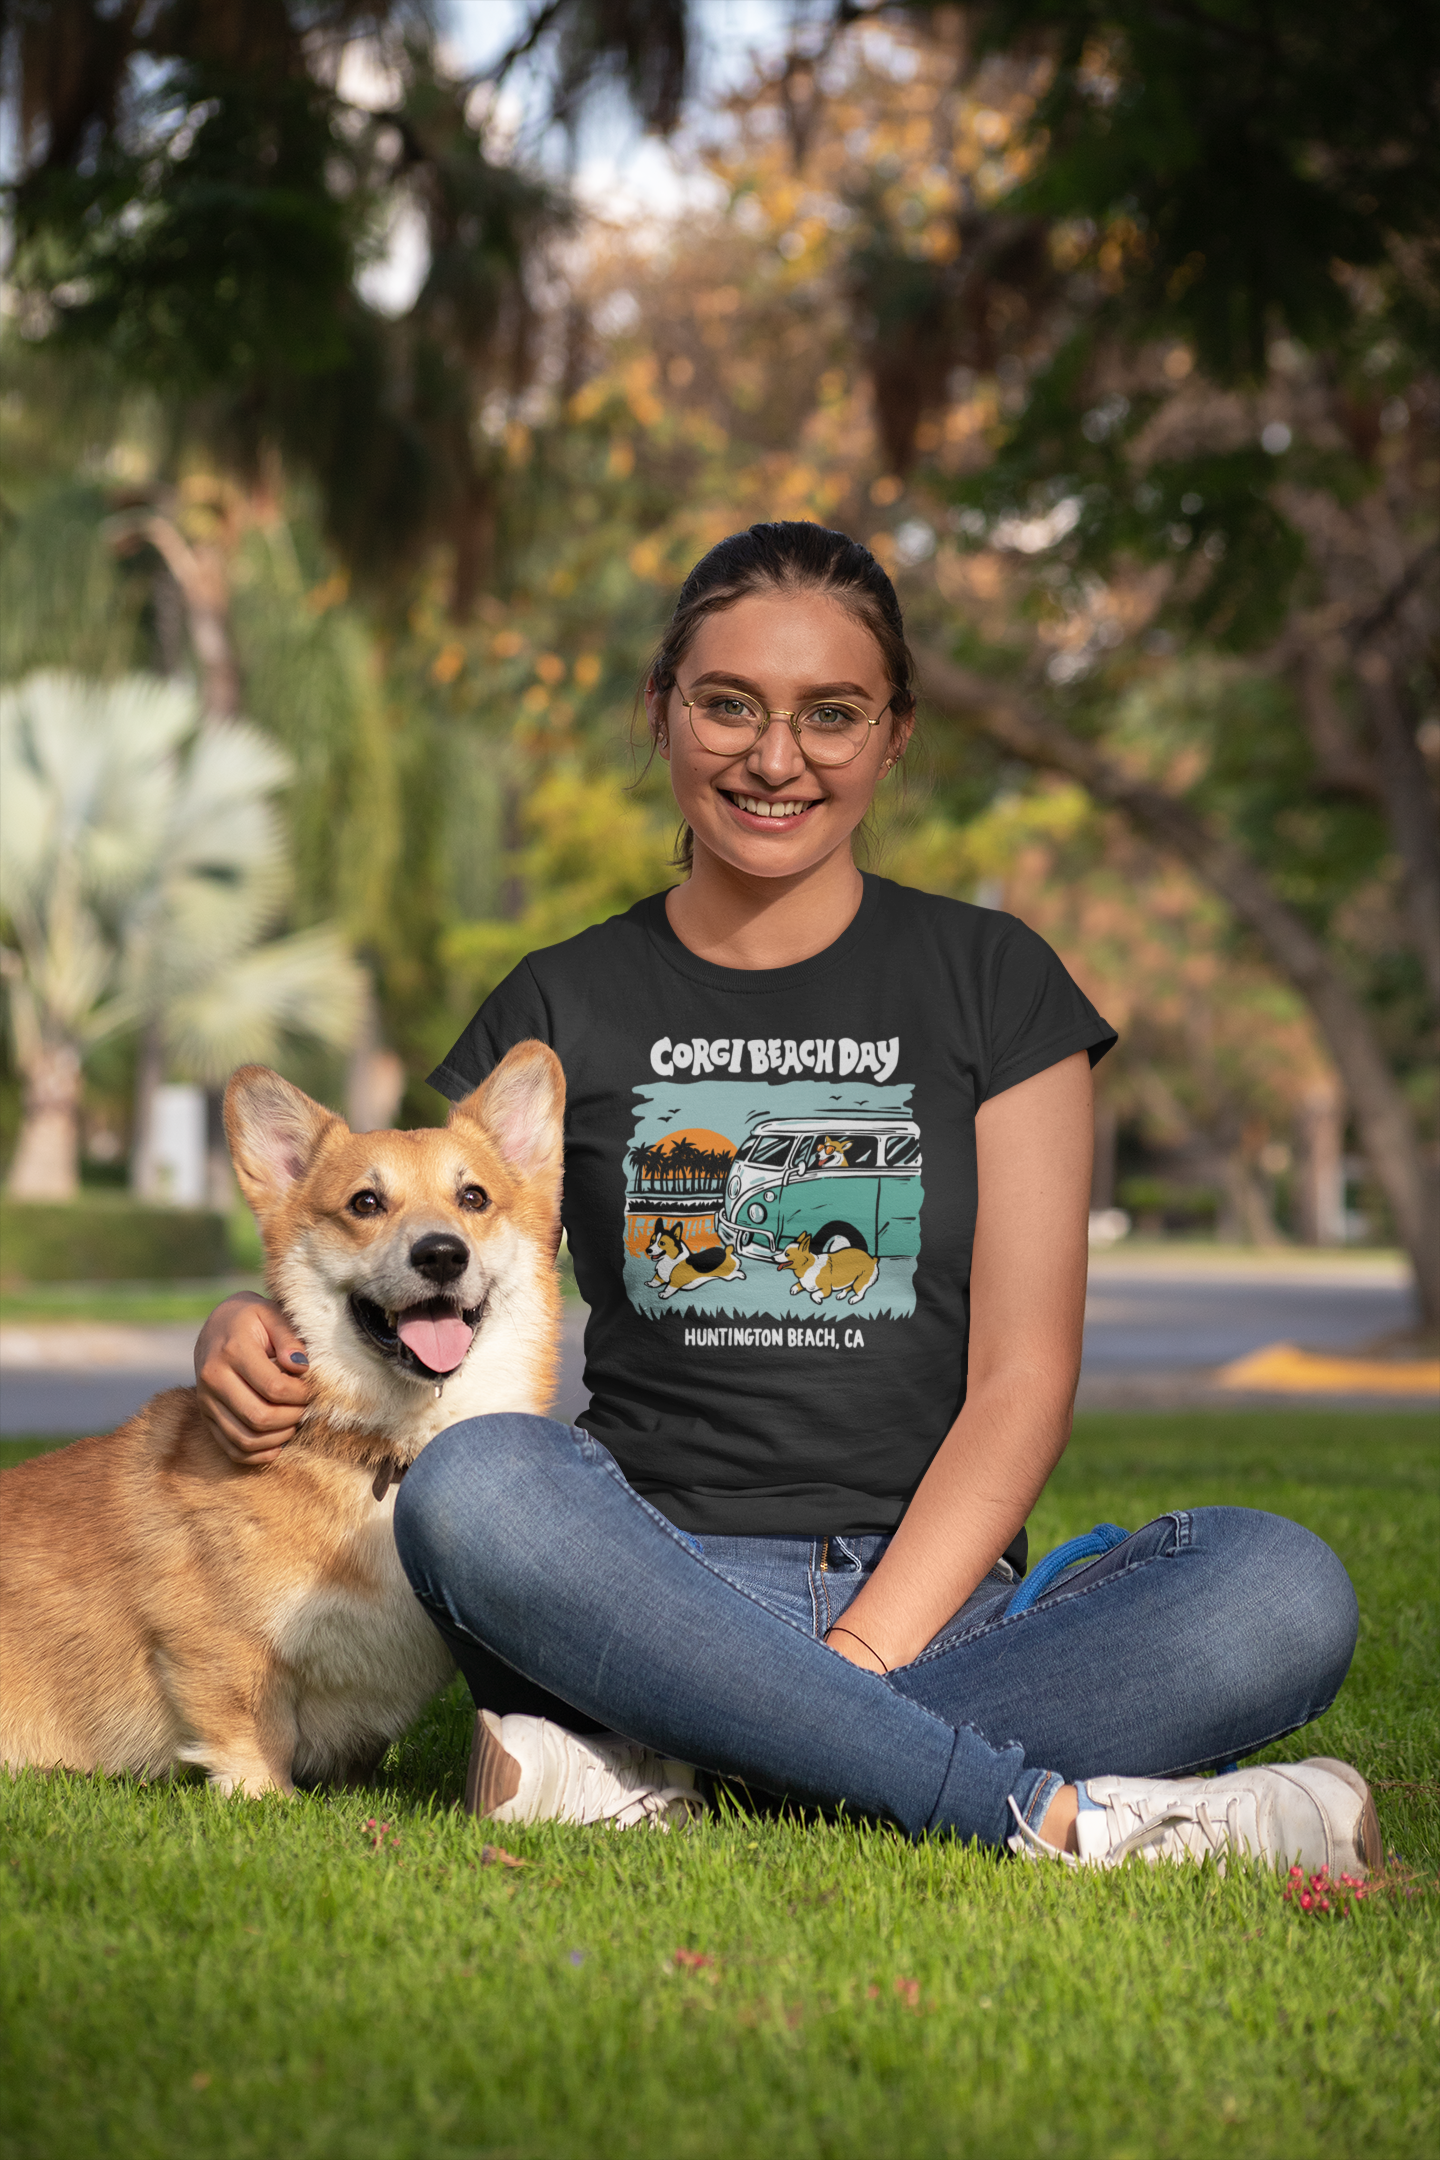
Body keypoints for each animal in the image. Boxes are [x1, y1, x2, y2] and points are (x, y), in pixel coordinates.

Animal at [0, 1036, 561, 1797]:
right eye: (365, 1202)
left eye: (473, 1198)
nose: (442, 1253)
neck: (384, 1449)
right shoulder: (220, 1648)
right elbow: (252, 1730)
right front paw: (266, 1796)